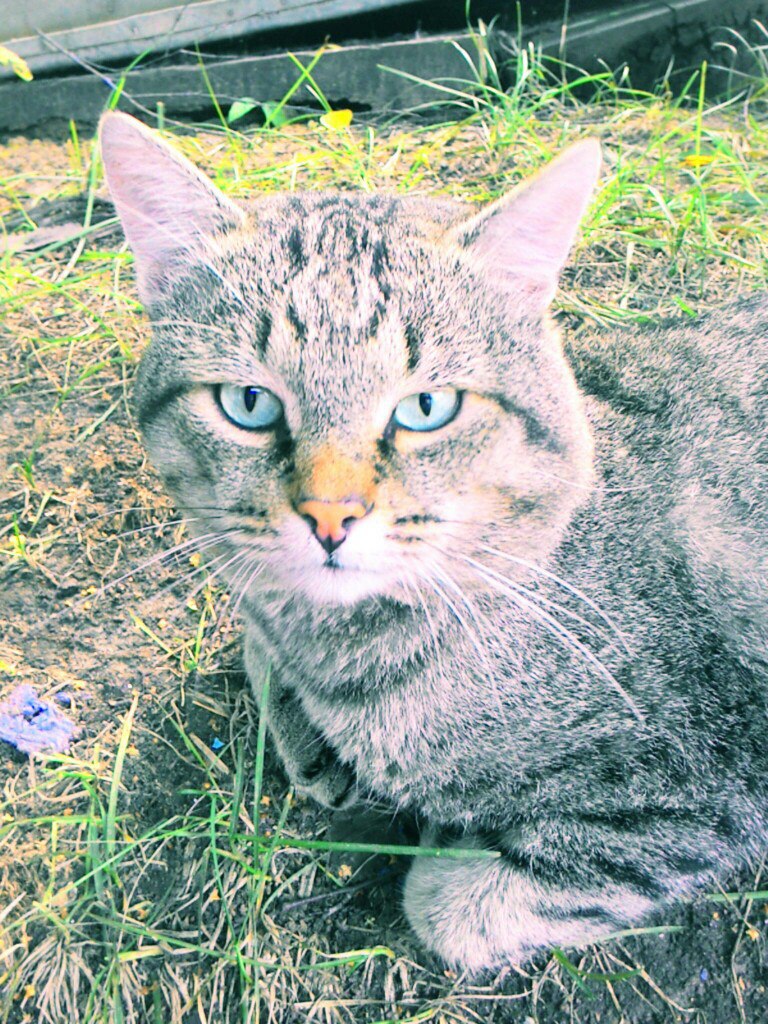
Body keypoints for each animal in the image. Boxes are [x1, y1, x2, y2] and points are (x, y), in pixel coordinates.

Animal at [100, 110, 767, 974]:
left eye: (426, 408)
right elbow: (259, 636)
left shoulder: (695, 796)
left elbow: (447, 906)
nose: (330, 516)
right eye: (248, 402)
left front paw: (435, 831)